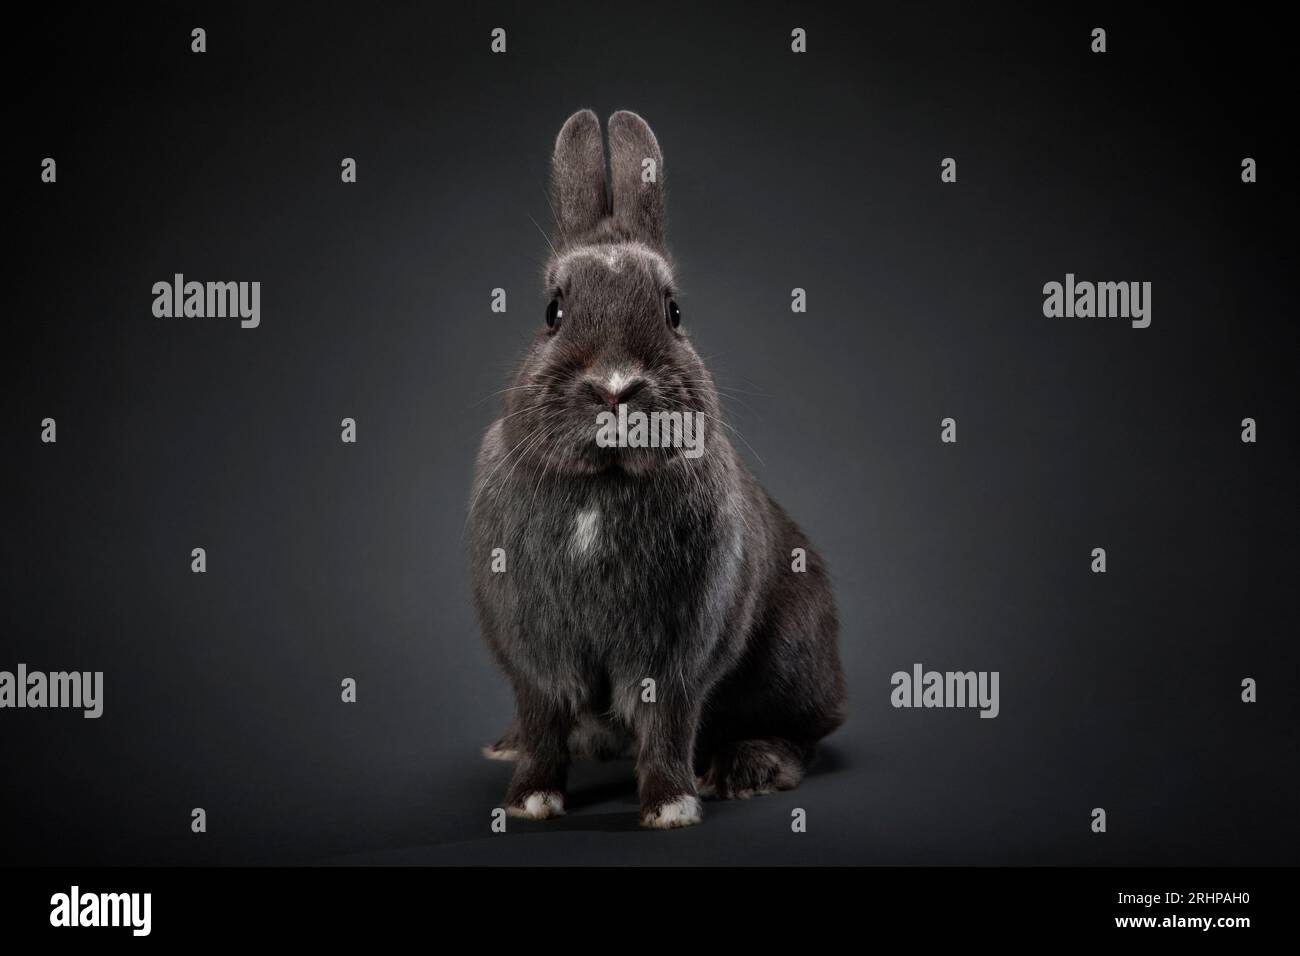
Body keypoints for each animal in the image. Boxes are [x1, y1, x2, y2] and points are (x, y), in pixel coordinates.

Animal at [468, 109, 846, 828]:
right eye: (553, 311)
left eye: (674, 312)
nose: (616, 386)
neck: (603, 486)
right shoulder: (534, 654)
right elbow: (543, 721)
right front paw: (529, 801)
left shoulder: (675, 652)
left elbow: (668, 722)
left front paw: (671, 808)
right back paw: (507, 747)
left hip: (797, 661)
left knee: (802, 734)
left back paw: (745, 770)